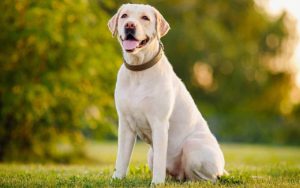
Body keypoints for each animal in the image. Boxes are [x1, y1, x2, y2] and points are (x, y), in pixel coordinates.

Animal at [108, 3, 225, 184]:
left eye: (145, 18)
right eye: (124, 16)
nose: (130, 25)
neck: (138, 71)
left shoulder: (159, 123)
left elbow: (159, 161)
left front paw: (156, 183)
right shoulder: (125, 124)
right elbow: (121, 158)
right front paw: (117, 179)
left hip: (193, 147)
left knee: (207, 177)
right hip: (150, 154)